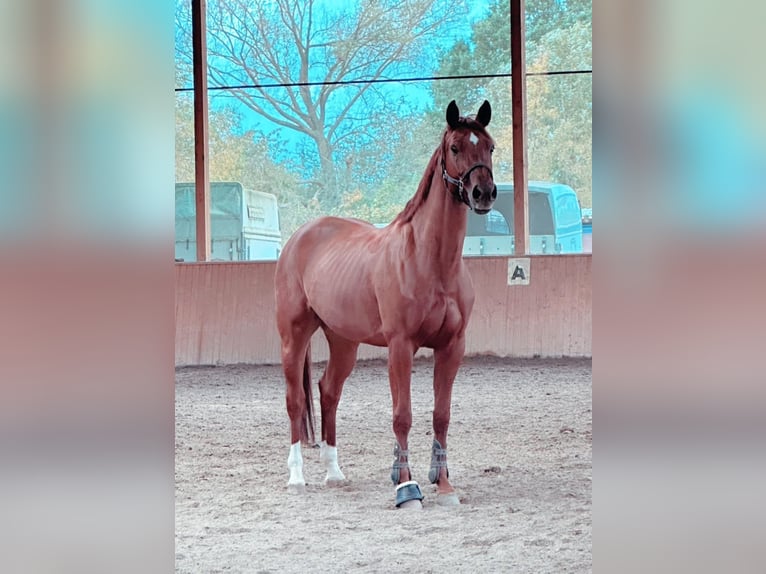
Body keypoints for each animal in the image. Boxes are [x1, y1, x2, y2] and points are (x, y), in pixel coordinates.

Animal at [274, 100, 497, 508]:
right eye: (455, 147)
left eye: (490, 147)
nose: (483, 193)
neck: (431, 262)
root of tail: (300, 236)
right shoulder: (400, 346)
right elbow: (402, 416)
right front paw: (406, 488)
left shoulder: (452, 346)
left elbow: (441, 415)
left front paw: (444, 486)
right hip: (293, 335)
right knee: (295, 400)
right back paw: (297, 477)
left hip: (343, 341)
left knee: (329, 392)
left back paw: (334, 473)